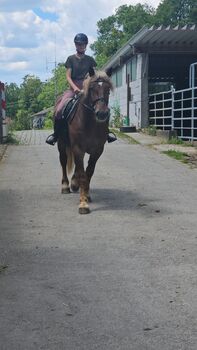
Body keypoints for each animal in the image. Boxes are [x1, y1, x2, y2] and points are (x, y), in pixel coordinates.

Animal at [57, 65, 112, 213]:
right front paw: (83, 203)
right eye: (92, 89)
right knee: (63, 162)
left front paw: (86, 195)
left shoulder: (97, 150)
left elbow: (89, 172)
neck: (89, 122)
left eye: (108, 89)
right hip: (62, 144)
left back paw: (74, 183)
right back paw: (65, 186)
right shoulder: (78, 148)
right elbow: (83, 175)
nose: (102, 113)